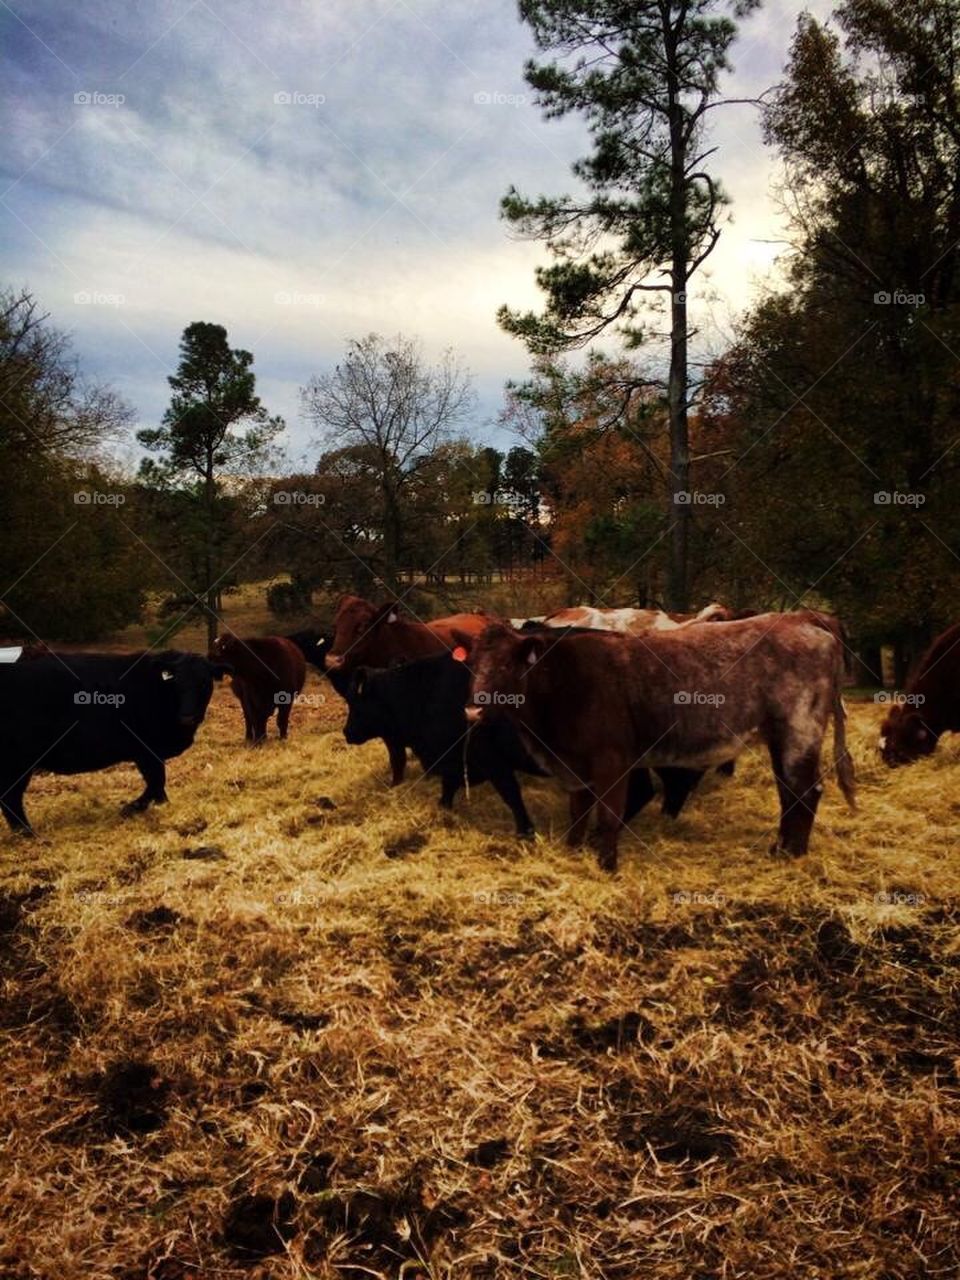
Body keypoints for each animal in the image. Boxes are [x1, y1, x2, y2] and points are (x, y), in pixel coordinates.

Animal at [0, 650, 230, 834]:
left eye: (204, 682)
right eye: (176, 683)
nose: (187, 717)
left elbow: (157, 783)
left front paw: (159, 804)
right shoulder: (146, 752)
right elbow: (156, 781)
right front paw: (135, 807)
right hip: (18, 762)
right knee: (10, 797)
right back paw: (27, 832)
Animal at [453, 614, 856, 872]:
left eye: (508, 665)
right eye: (471, 664)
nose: (473, 709)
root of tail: (803, 617)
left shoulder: (612, 760)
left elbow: (609, 815)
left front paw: (607, 865)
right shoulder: (575, 766)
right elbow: (578, 813)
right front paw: (572, 852)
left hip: (800, 731)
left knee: (805, 792)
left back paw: (793, 855)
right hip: (782, 738)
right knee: (788, 792)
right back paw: (780, 848)